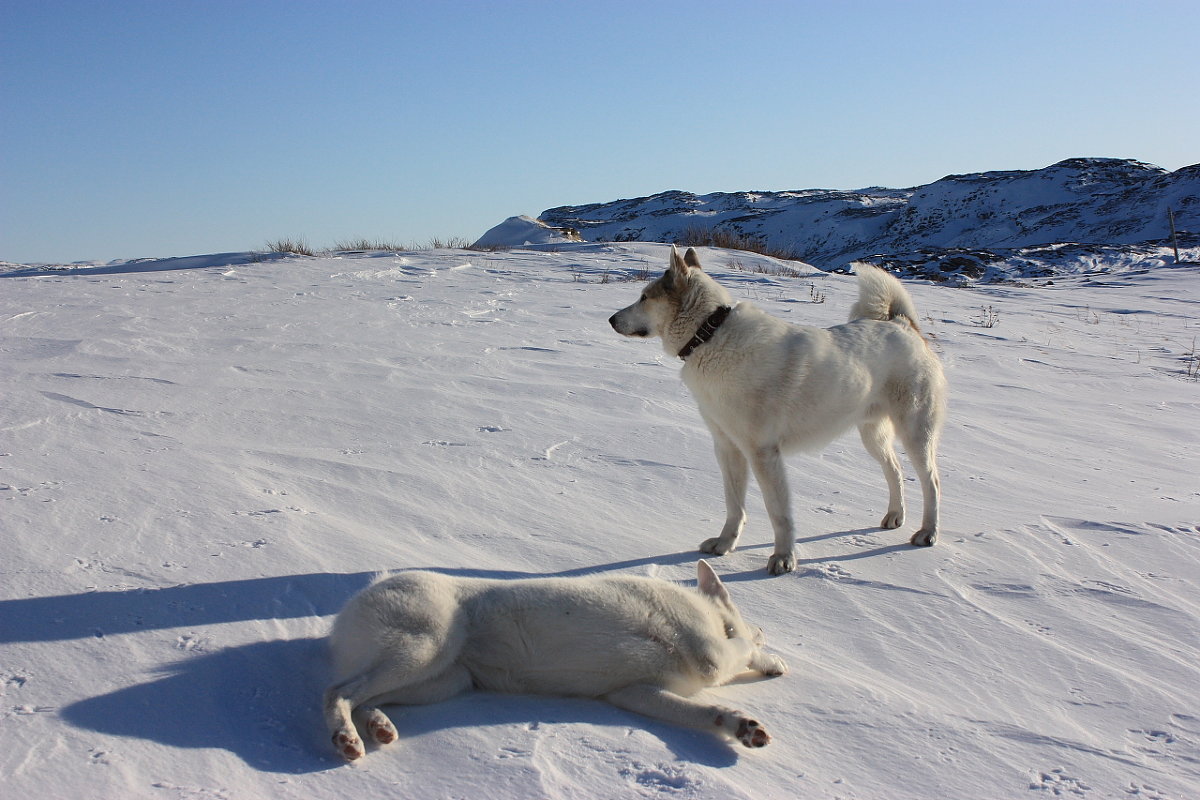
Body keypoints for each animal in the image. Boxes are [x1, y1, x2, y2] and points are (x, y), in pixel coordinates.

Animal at [321, 561, 787, 762]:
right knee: (337, 692)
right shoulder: (708, 653)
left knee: (364, 697)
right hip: (424, 648)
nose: (767, 631)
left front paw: (744, 727)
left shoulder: (636, 693)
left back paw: (379, 727)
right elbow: (736, 651)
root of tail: (351, 608)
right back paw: (347, 739)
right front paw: (772, 659)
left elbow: (706, 712)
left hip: (443, 679)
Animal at [609, 248, 945, 575]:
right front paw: (724, 544)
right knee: (895, 471)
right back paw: (895, 516)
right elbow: (734, 505)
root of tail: (903, 325)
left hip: (915, 432)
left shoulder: (763, 454)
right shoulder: (728, 448)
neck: (710, 334)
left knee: (931, 482)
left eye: (644, 297)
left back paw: (927, 533)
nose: (611, 319)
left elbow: (778, 513)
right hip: (872, 435)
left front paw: (784, 560)